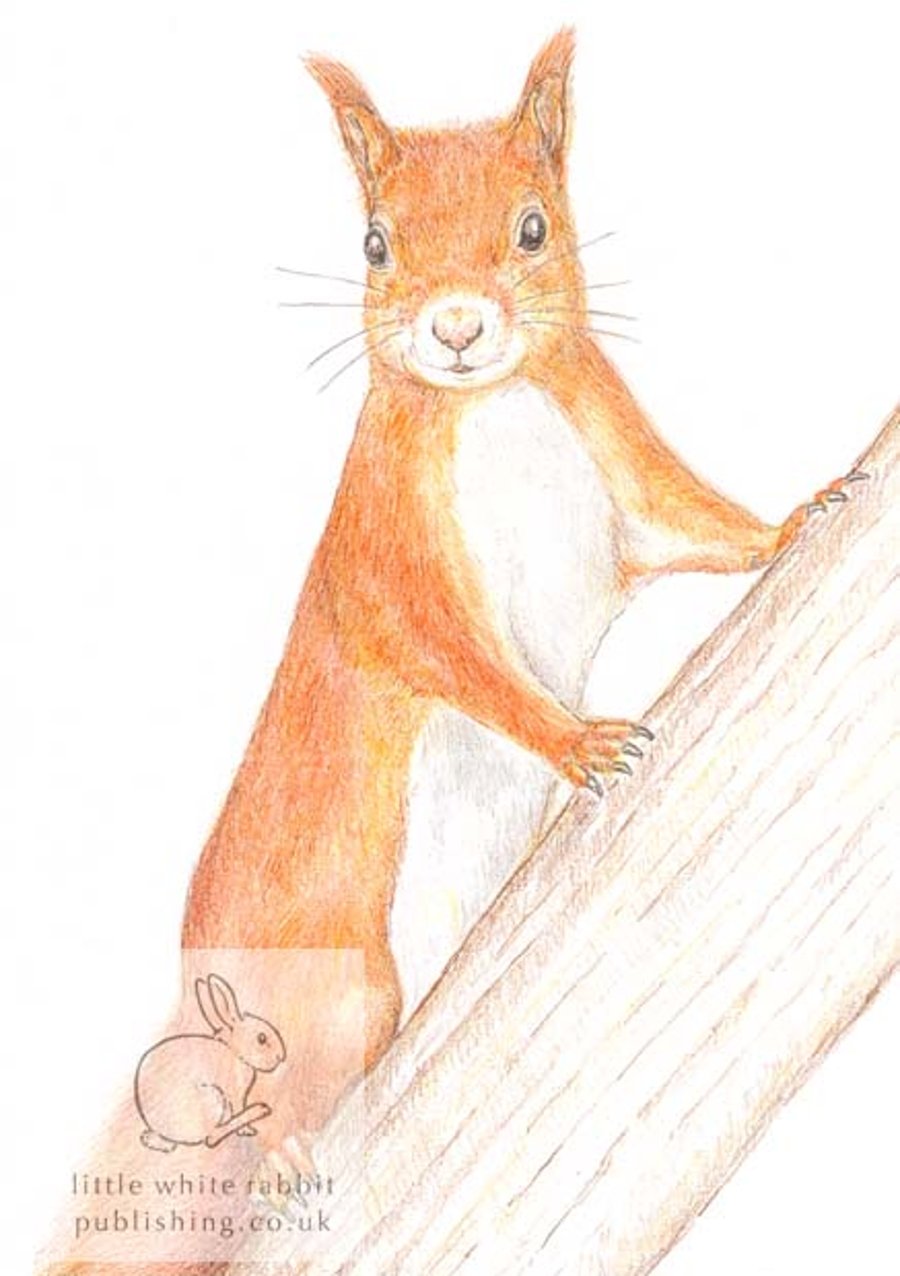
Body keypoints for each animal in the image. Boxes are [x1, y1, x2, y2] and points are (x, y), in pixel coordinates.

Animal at [42, 28, 855, 1276]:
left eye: (533, 226)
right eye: (374, 244)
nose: (459, 326)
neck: (499, 406)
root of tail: (195, 987)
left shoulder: (622, 478)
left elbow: (701, 527)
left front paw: (803, 517)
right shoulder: (389, 567)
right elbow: (461, 662)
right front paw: (577, 742)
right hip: (338, 986)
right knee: (275, 1095)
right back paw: (285, 1147)